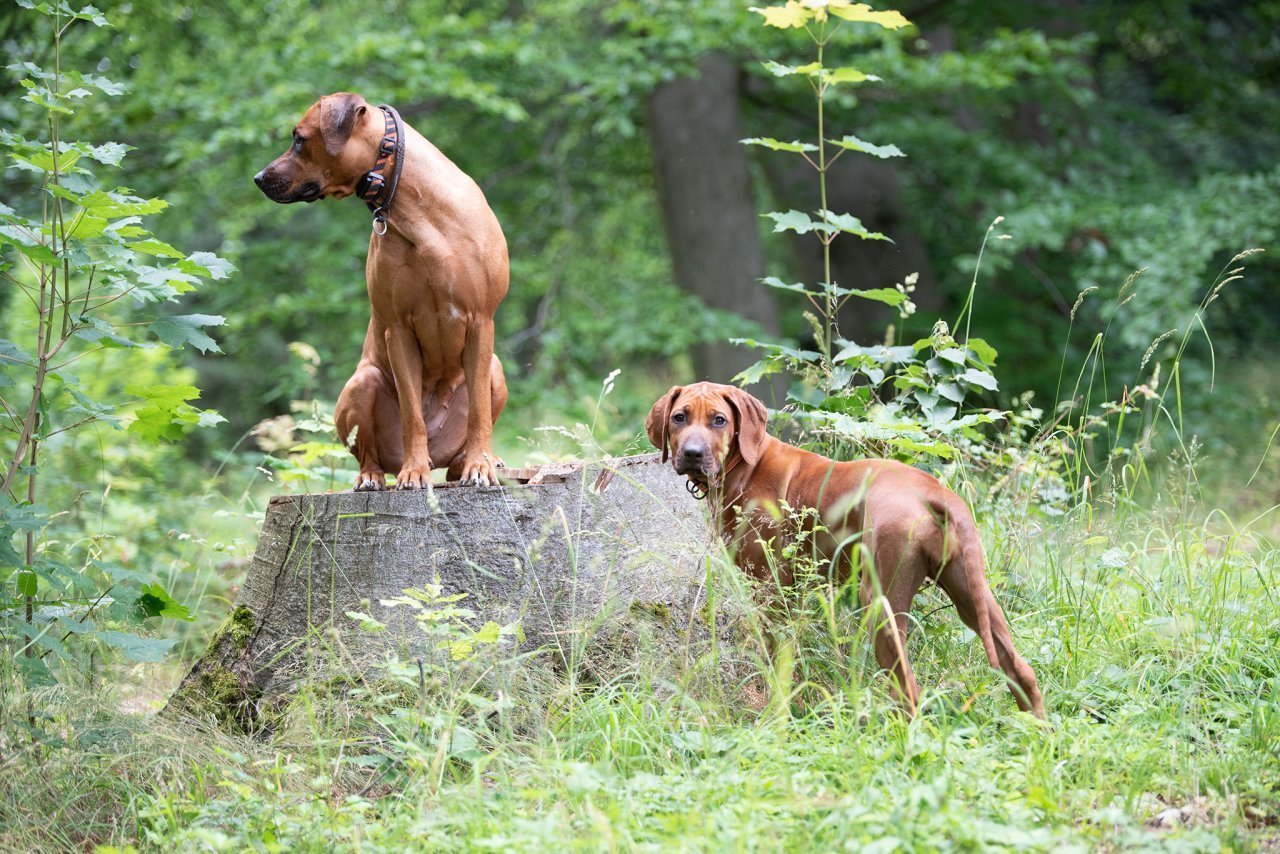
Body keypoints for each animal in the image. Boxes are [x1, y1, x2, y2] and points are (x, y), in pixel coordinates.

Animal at [252, 92, 506, 486]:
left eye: (298, 139)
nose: (259, 178)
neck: (421, 214)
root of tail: (439, 455)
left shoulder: (481, 321)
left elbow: (478, 412)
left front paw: (480, 465)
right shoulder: (398, 330)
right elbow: (412, 415)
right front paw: (413, 471)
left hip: (495, 369)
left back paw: (473, 461)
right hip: (363, 383)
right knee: (366, 454)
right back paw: (374, 475)